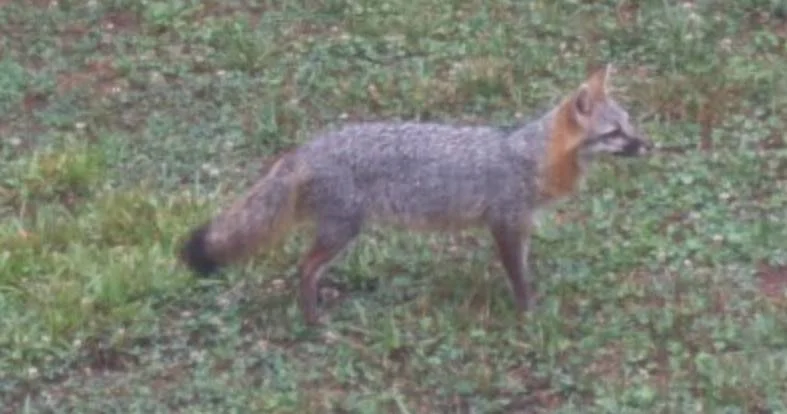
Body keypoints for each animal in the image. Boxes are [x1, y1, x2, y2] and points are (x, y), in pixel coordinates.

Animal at [178, 64, 653, 326]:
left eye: (630, 123)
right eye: (615, 133)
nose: (650, 146)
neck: (531, 156)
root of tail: (306, 150)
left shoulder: (518, 225)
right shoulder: (505, 223)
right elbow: (518, 276)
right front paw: (528, 313)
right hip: (343, 232)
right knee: (304, 267)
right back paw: (315, 320)